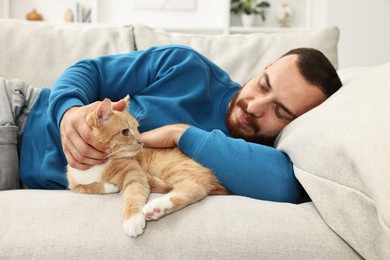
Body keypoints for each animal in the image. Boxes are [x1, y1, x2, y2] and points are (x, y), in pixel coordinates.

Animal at [66, 96, 229, 238]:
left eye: (137, 128)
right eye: (125, 132)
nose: (141, 141)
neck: (100, 164)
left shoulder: (135, 175)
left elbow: (134, 194)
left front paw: (133, 219)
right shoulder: (74, 184)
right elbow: (90, 187)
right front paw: (111, 186)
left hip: (173, 168)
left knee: (195, 188)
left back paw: (156, 207)